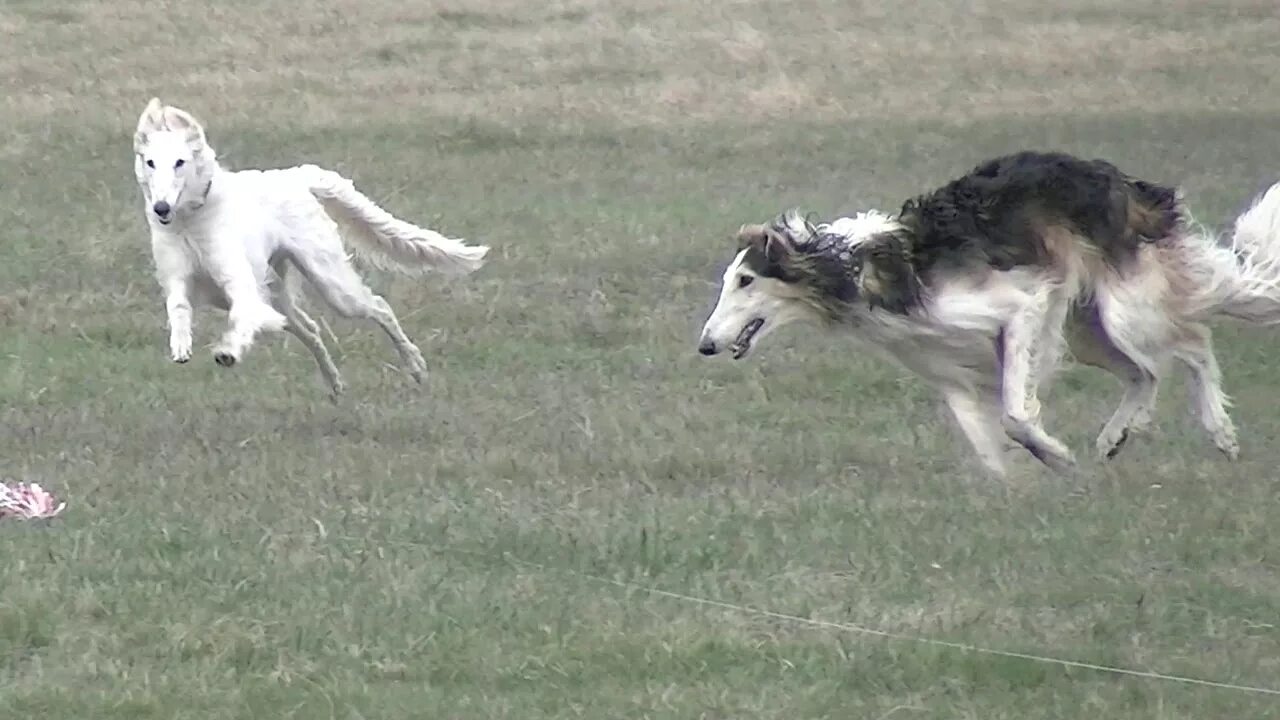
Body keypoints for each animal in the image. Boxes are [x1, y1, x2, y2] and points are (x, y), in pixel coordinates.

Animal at [132, 96, 486, 394]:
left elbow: (242, 317)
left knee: (380, 307)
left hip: (332, 285)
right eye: (150, 162)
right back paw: (334, 384)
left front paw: (228, 351)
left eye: (179, 162)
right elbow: (178, 308)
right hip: (281, 297)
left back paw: (415, 366)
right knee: (312, 328)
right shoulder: (178, 278)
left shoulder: (241, 284)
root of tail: (296, 176)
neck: (189, 224)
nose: (160, 208)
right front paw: (181, 345)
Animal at [696, 149, 1280, 476]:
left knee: (1194, 346)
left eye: (746, 281)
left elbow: (1017, 417)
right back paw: (1115, 437)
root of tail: (1131, 187)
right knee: (1147, 373)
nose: (705, 345)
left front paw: (1056, 457)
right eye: (728, 281)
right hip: (1087, 327)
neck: (856, 267)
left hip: (1124, 311)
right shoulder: (948, 369)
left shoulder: (1021, 308)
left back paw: (1221, 434)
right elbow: (989, 448)